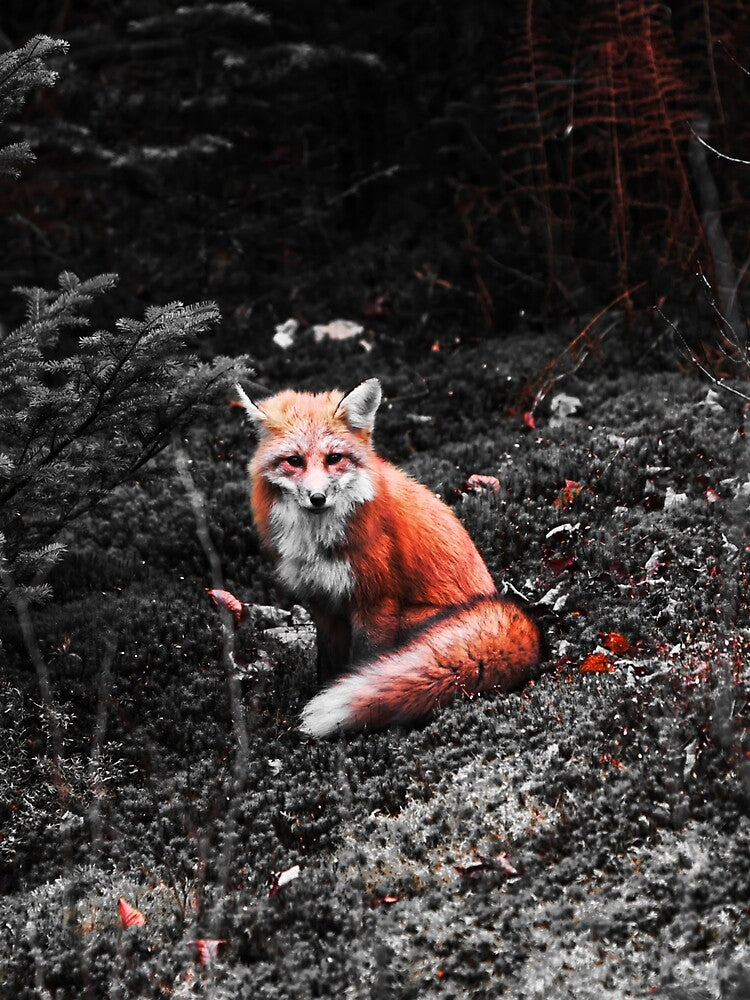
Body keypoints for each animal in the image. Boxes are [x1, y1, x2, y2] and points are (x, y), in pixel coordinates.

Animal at [236, 377, 542, 738]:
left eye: (334, 458)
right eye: (294, 460)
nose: (317, 497)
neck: (319, 542)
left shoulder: (376, 602)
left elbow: (363, 664)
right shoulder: (322, 605)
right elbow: (327, 668)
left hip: (413, 622)